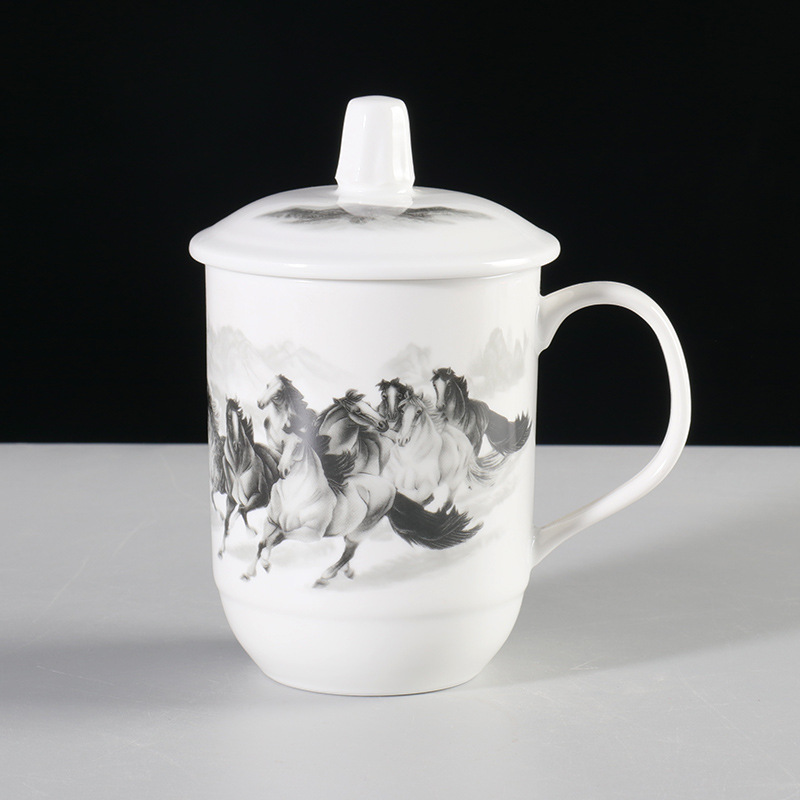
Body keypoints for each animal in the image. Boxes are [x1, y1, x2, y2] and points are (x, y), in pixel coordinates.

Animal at [219, 398, 279, 558]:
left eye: (239, 416)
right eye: (228, 417)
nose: (236, 445)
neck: (239, 468)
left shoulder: (261, 498)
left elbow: (241, 511)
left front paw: (251, 532)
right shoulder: (231, 500)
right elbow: (228, 519)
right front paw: (221, 550)